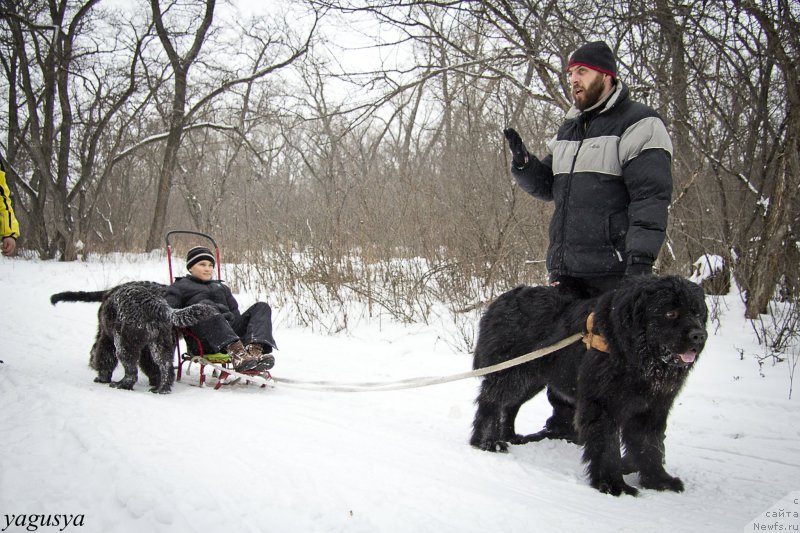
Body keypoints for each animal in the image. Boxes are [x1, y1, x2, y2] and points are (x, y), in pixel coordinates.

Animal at [51, 280, 217, 392]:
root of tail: (155, 305)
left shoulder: (107, 338)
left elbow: (104, 358)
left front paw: (101, 377)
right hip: (159, 346)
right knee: (165, 367)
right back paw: (161, 388)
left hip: (124, 345)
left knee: (131, 371)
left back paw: (122, 384)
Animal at [472, 274, 708, 494]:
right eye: (670, 313)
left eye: (697, 313)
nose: (699, 336)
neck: (633, 352)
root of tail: (499, 301)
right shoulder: (602, 403)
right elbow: (607, 446)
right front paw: (613, 485)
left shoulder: (652, 406)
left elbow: (650, 444)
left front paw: (658, 480)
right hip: (512, 372)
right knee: (491, 402)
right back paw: (487, 442)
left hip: (531, 378)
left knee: (510, 405)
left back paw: (510, 436)